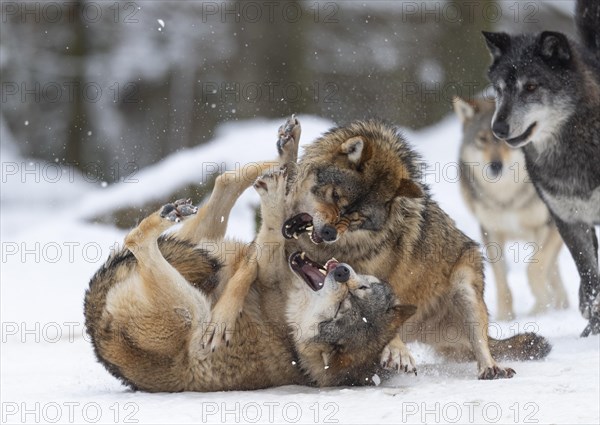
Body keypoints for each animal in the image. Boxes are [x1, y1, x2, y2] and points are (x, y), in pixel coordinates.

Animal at [84, 140, 414, 390]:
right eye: (361, 288)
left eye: (339, 311)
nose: (342, 272)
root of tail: (98, 337)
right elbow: (262, 247)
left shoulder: (266, 266)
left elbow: (266, 238)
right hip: (202, 242)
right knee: (224, 183)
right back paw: (283, 158)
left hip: (190, 306)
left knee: (137, 240)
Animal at [454, 96, 568, 320]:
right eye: (482, 139)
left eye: (509, 140)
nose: (495, 166)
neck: (507, 199)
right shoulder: (490, 231)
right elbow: (501, 281)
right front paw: (505, 317)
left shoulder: (552, 225)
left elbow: (534, 269)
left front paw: (541, 307)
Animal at [482, 0, 600, 336]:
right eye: (499, 89)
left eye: (532, 86)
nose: (498, 128)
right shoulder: (568, 220)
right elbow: (590, 275)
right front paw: (593, 327)